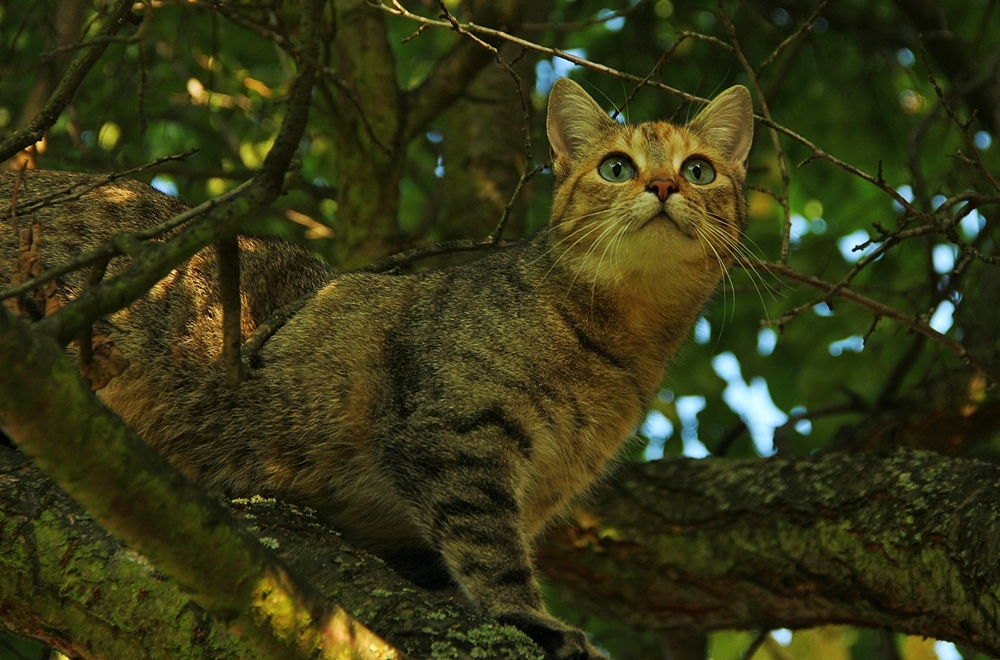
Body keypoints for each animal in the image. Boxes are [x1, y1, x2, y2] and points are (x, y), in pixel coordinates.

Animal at [0, 78, 752, 660]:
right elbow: (488, 551)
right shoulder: (451, 435)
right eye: (617, 167)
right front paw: (531, 621)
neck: (619, 344)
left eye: (700, 171)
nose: (663, 184)